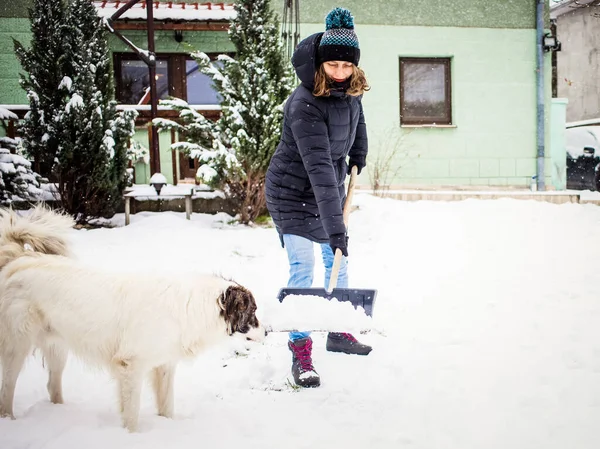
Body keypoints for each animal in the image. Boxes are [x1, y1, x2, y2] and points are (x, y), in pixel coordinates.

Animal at [0, 206, 264, 430]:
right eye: (253, 312)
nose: (268, 332)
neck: (192, 307)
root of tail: (20, 259)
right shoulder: (131, 365)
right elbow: (132, 412)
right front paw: (132, 435)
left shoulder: (164, 365)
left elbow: (166, 405)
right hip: (17, 345)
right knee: (7, 386)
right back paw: (9, 419)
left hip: (57, 347)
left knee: (52, 384)